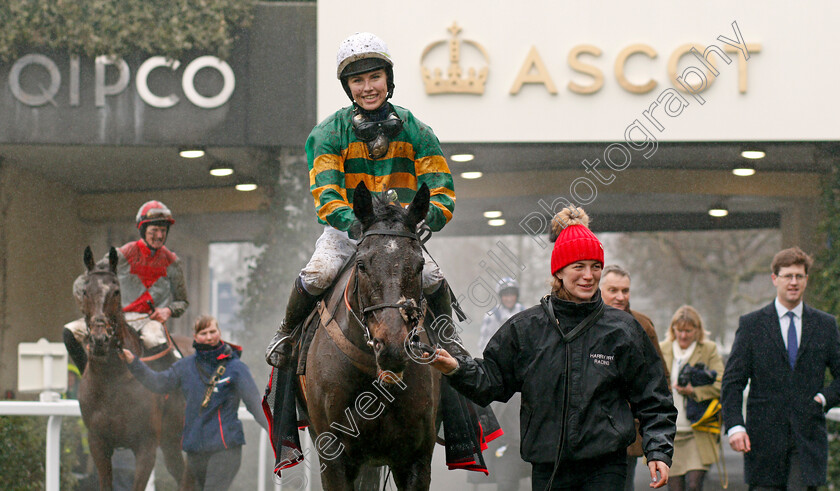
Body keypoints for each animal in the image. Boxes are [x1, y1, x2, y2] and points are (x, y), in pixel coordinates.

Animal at [77, 248, 189, 490]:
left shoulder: (146, 444)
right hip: (170, 441)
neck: (112, 380)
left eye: (116, 291)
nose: (99, 340)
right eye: (85, 291)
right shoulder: (98, 443)